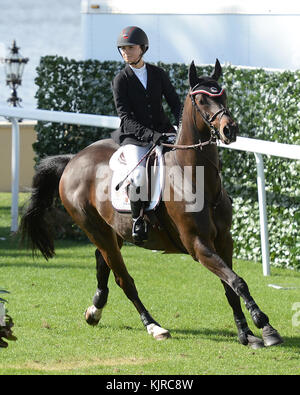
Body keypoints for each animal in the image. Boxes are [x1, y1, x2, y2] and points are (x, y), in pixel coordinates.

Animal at [21, 60, 284, 348]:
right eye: (201, 99)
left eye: (223, 95)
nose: (229, 129)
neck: (196, 178)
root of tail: (73, 160)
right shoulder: (198, 244)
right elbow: (237, 281)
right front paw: (264, 325)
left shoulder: (224, 240)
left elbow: (230, 286)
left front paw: (247, 333)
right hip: (95, 229)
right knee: (124, 279)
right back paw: (153, 326)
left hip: (113, 230)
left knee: (102, 262)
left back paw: (95, 310)